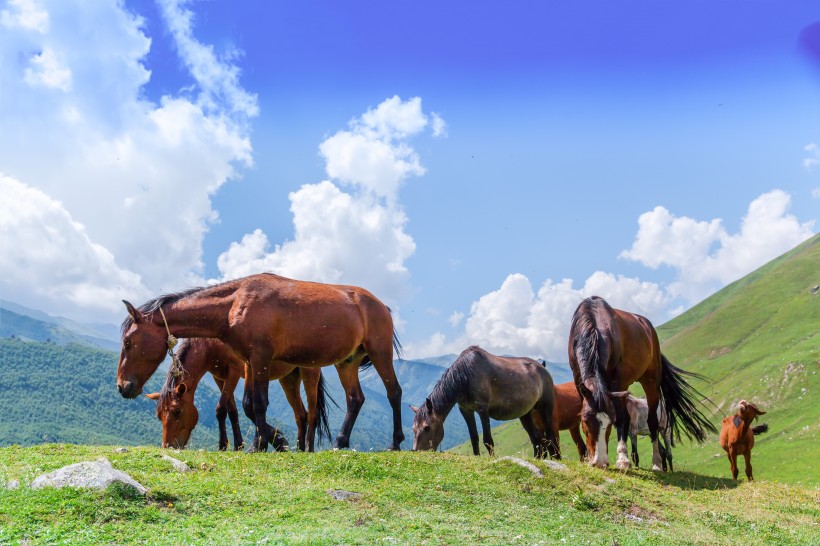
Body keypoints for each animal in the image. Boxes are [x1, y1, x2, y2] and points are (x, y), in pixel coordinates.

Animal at [146, 336, 332, 450]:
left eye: (178, 412)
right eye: (159, 416)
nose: (168, 446)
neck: (212, 343)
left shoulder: (235, 371)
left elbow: (226, 409)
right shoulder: (219, 377)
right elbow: (232, 411)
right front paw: (238, 445)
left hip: (309, 374)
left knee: (312, 414)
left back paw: (309, 449)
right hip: (289, 379)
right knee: (300, 415)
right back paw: (300, 448)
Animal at [408, 346, 560, 456]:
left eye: (427, 427)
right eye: (413, 429)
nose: (418, 452)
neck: (465, 376)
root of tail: (543, 368)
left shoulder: (483, 409)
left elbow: (488, 440)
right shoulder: (466, 410)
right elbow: (474, 438)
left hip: (546, 408)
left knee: (551, 438)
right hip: (525, 414)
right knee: (536, 439)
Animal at [568, 296, 716, 470]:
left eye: (608, 423)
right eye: (585, 421)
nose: (599, 462)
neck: (594, 323)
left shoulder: (617, 382)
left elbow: (620, 419)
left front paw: (622, 460)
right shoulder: (579, 381)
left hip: (650, 382)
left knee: (652, 422)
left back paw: (657, 463)